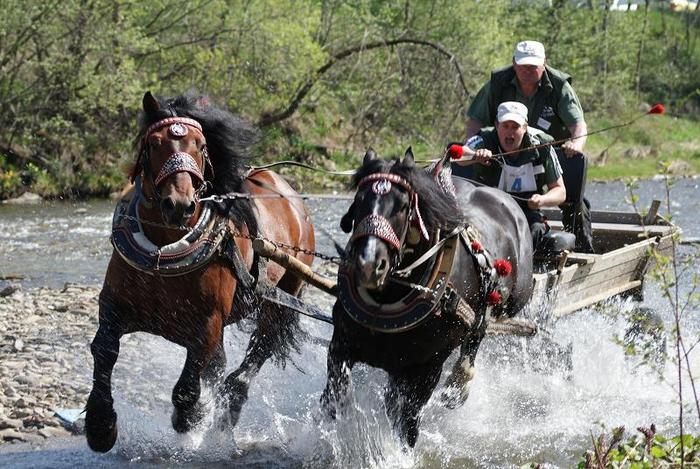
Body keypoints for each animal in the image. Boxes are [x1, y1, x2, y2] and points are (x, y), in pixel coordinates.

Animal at [86, 89, 316, 452]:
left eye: (200, 144)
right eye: (154, 143)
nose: (179, 204)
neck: (163, 251)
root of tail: (291, 196)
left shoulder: (208, 321)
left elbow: (193, 371)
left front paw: (189, 416)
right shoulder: (113, 306)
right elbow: (105, 350)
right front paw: (99, 424)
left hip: (284, 295)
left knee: (259, 350)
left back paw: (228, 406)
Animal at [322, 149, 536, 446]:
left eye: (402, 206)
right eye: (359, 199)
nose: (367, 264)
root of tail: (504, 198)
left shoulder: (426, 368)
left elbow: (408, 425)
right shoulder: (341, 347)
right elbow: (334, 402)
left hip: (510, 300)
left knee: (480, 330)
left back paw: (458, 385)